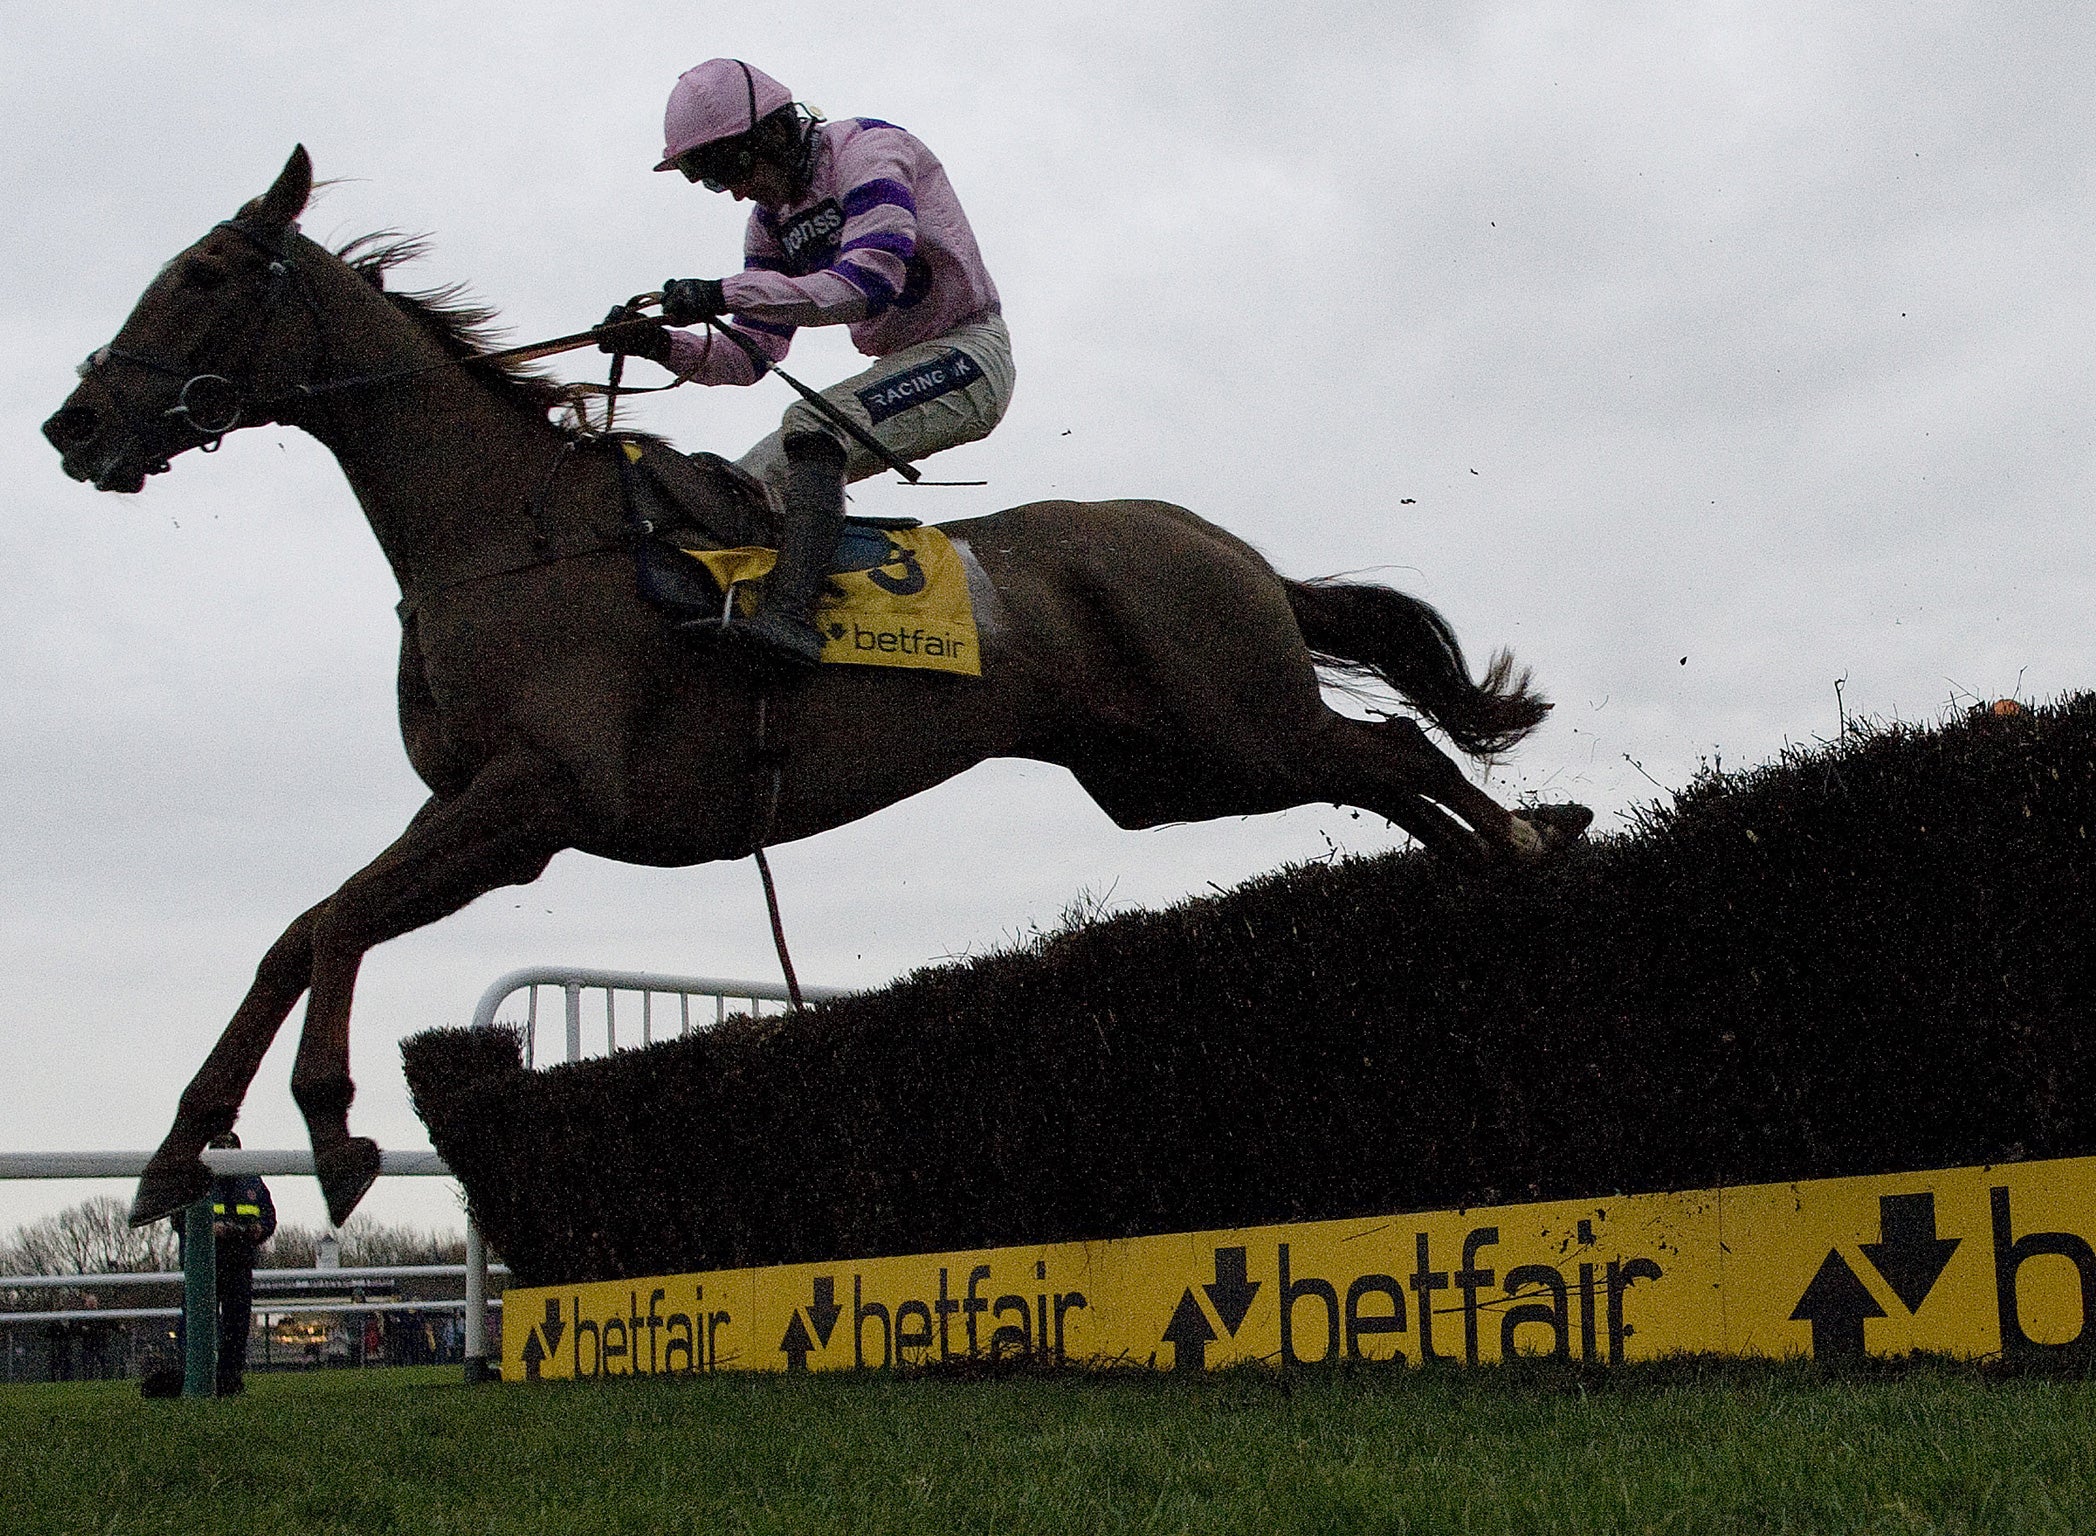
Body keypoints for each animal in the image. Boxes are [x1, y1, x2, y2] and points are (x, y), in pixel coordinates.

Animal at [40, 143, 1584, 1223]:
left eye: (208, 274)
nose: (73, 422)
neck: (505, 539)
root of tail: (1223, 543)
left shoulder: (533, 803)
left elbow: (340, 923)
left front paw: (333, 1124)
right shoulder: (478, 810)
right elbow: (296, 933)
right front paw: (182, 1151)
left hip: (1234, 727)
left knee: (1398, 756)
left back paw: (1522, 848)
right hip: (1172, 776)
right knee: (1383, 775)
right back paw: (1494, 862)